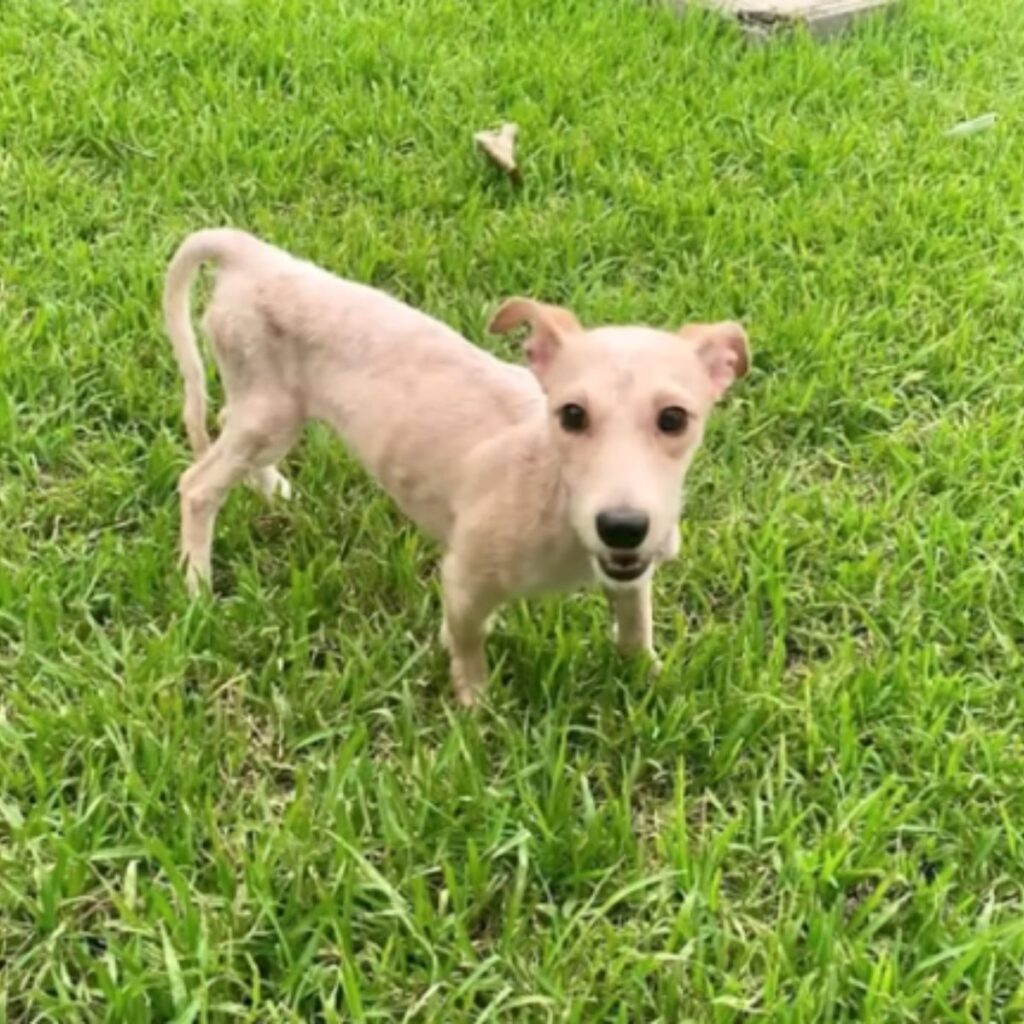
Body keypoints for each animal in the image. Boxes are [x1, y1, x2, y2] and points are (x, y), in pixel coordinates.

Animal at [161, 226, 753, 704]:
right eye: (571, 414)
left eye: (674, 419)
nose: (623, 527)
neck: (553, 496)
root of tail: (250, 254)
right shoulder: (465, 576)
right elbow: (468, 644)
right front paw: (475, 711)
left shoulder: (630, 576)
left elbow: (634, 629)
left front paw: (654, 679)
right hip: (268, 411)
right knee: (198, 485)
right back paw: (197, 586)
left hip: (270, 409)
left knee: (235, 438)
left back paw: (272, 491)